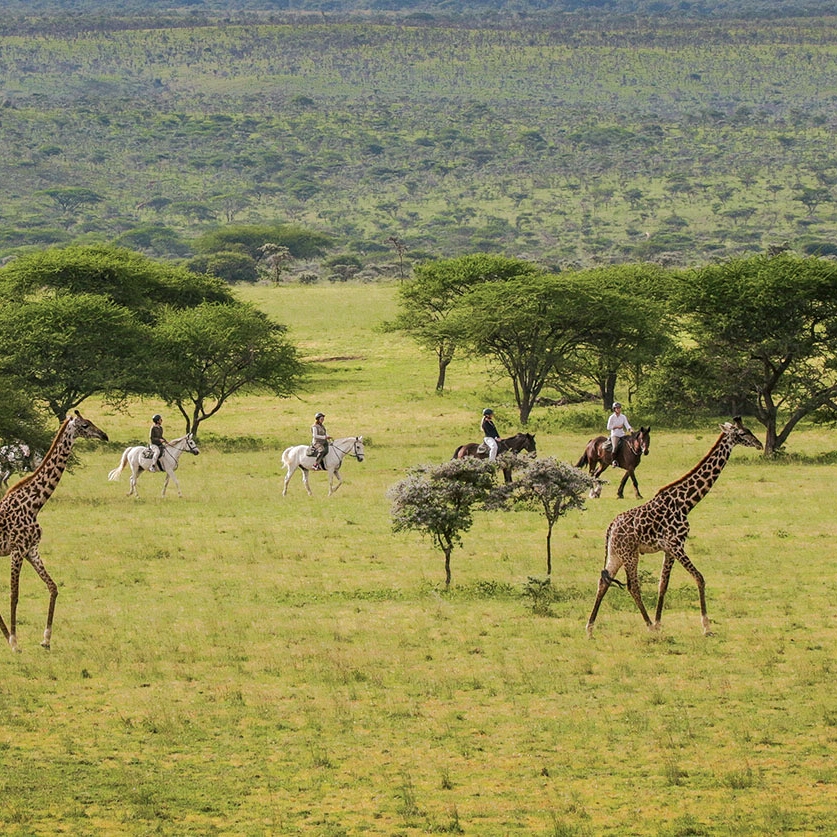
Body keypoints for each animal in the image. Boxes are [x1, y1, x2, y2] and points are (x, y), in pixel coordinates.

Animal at [0, 412, 108, 652]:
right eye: (85, 425)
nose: (104, 435)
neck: (35, 504)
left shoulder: (31, 550)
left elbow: (53, 587)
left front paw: (46, 640)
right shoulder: (17, 550)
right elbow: (14, 595)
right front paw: (15, 643)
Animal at [584, 414, 760, 636]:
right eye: (744, 433)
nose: (759, 444)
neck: (686, 503)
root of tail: (610, 528)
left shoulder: (669, 549)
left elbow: (663, 584)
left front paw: (660, 622)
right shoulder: (676, 545)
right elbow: (699, 578)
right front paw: (706, 626)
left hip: (615, 554)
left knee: (603, 582)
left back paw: (590, 628)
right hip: (630, 554)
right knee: (632, 586)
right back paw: (648, 624)